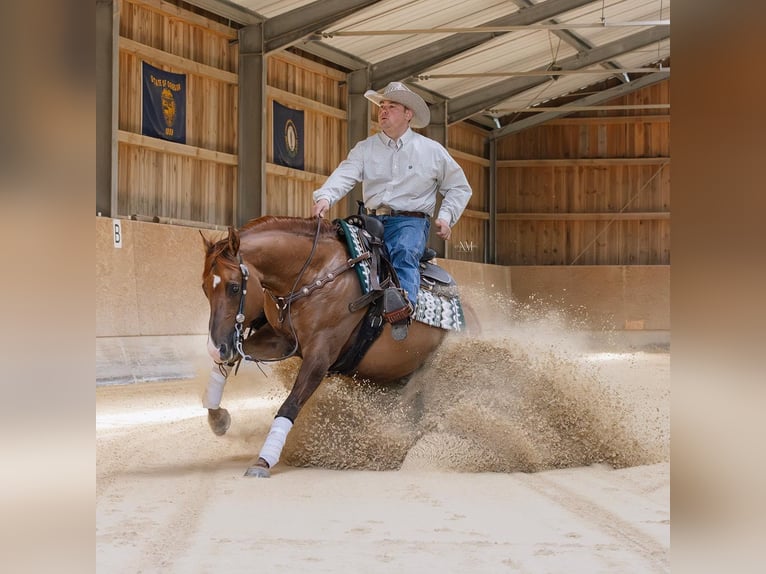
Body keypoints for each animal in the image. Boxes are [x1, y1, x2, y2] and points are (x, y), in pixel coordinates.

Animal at [200, 215, 472, 477]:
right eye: (204, 288)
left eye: (234, 287)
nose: (216, 347)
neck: (315, 275)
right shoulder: (281, 340)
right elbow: (223, 365)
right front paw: (217, 418)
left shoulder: (320, 356)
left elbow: (291, 404)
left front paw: (263, 460)